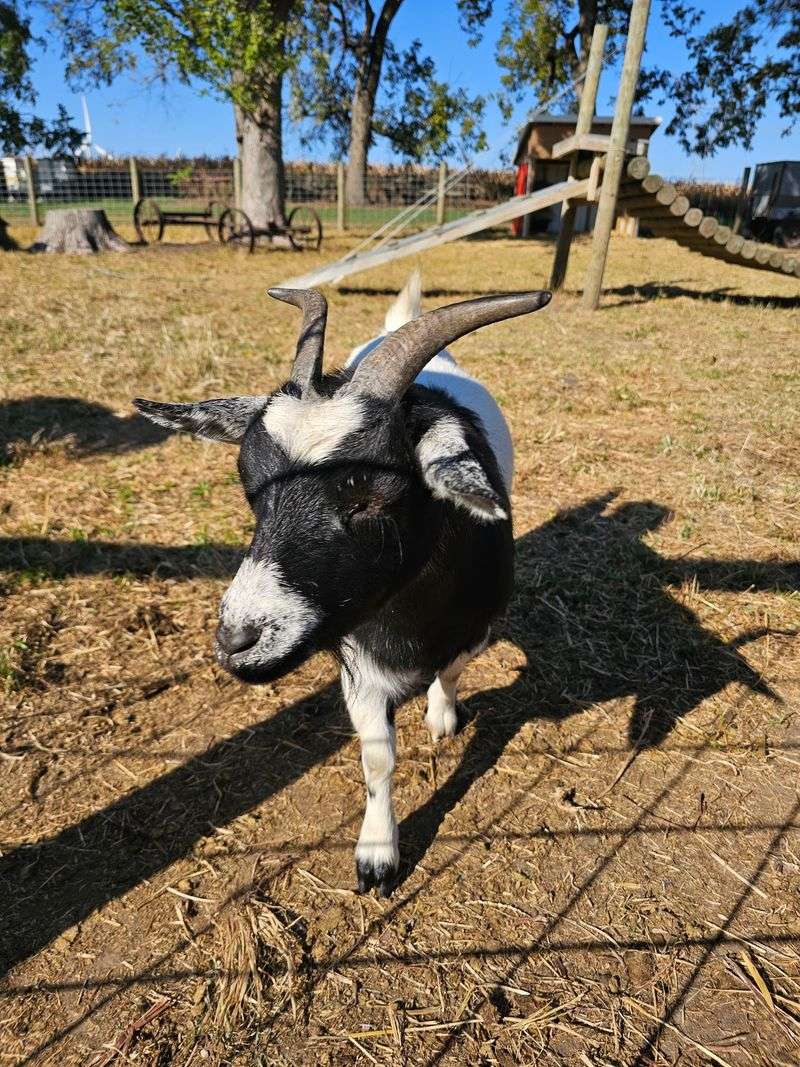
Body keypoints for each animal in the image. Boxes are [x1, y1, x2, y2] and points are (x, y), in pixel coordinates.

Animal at [134, 274, 550, 896]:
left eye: (371, 497)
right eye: (249, 485)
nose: (237, 641)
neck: (413, 618)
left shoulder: (479, 623)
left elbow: (453, 670)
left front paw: (441, 717)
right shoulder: (357, 657)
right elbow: (378, 759)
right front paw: (377, 857)